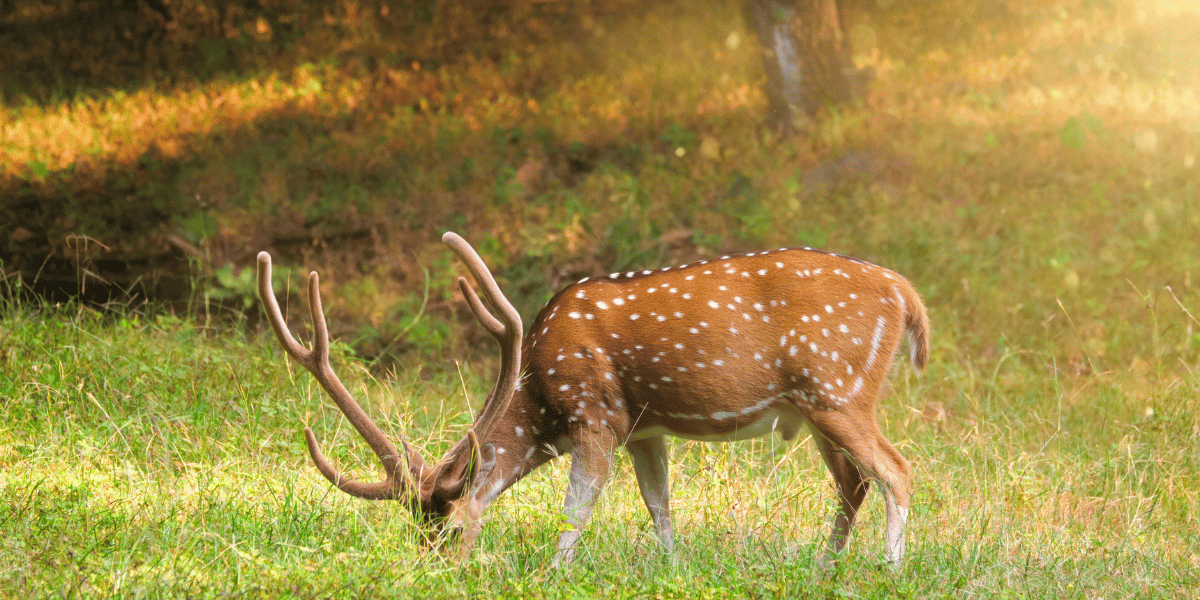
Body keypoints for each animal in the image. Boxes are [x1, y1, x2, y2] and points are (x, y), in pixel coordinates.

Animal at [255, 230, 926, 566]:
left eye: (449, 532)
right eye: (415, 532)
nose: (425, 572)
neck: (539, 393)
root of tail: (905, 292)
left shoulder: (596, 412)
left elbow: (576, 509)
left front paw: (553, 573)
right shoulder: (644, 428)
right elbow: (659, 506)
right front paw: (672, 569)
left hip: (838, 389)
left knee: (896, 469)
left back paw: (888, 570)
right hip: (816, 409)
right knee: (854, 481)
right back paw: (820, 567)